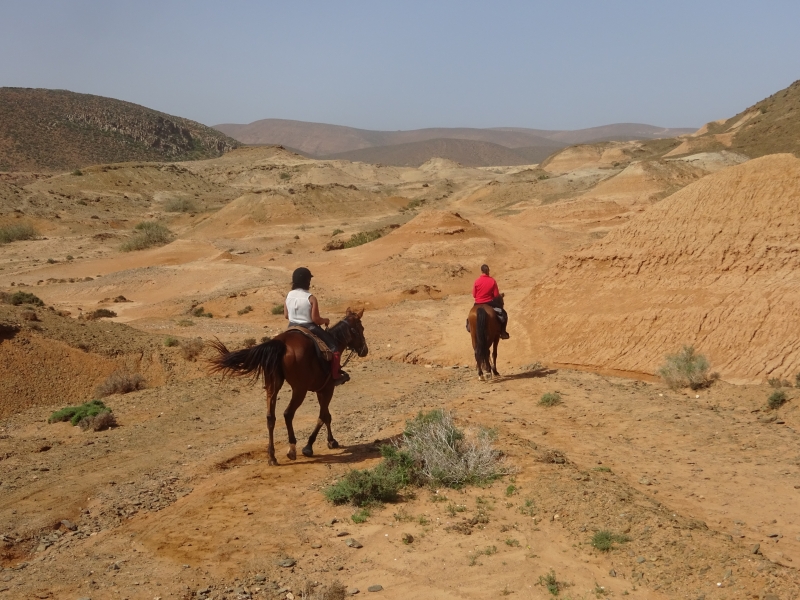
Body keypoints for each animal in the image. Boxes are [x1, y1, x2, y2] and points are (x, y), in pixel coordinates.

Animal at [206, 308, 368, 466]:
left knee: (270, 417)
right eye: (361, 328)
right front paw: (309, 446)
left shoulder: (321, 390)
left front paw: (331, 440)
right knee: (288, 414)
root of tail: (281, 344)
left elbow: (326, 415)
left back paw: (272, 457)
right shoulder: (328, 388)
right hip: (299, 390)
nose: (365, 350)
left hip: (273, 385)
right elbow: (323, 416)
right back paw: (292, 450)